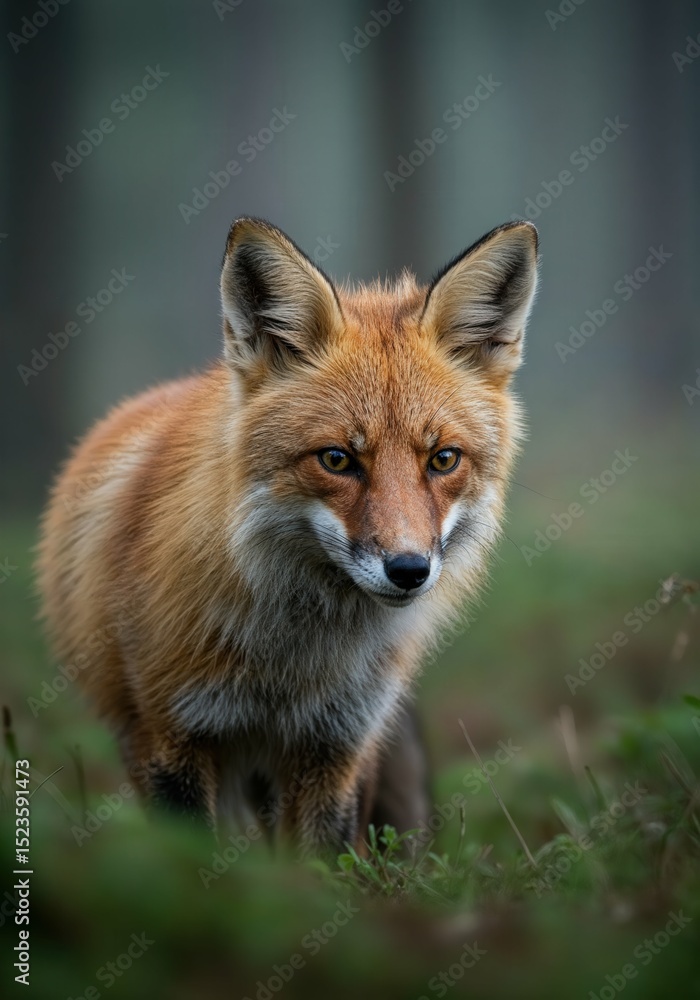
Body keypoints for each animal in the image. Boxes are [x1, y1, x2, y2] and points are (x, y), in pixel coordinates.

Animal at [37, 216, 538, 857]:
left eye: (443, 459)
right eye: (337, 459)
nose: (409, 570)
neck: (292, 664)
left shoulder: (337, 743)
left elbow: (322, 866)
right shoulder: (171, 734)